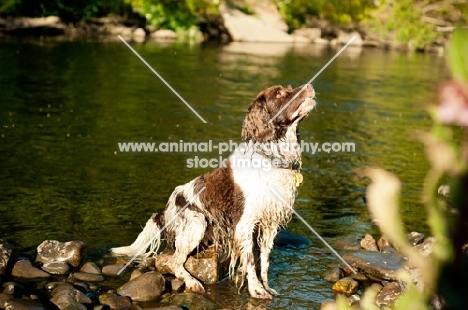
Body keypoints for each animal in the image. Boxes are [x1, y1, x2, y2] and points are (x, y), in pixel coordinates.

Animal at [111, 83, 314, 300]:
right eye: (279, 93)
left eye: (289, 88)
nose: (309, 85)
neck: (270, 157)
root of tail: (164, 214)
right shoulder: (245, 223)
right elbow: (251, 261)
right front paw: (257, 290)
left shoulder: (270, 223)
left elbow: (265, 261)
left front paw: (266, 287)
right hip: (197, 221)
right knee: (174, 261)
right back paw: (193, 282)